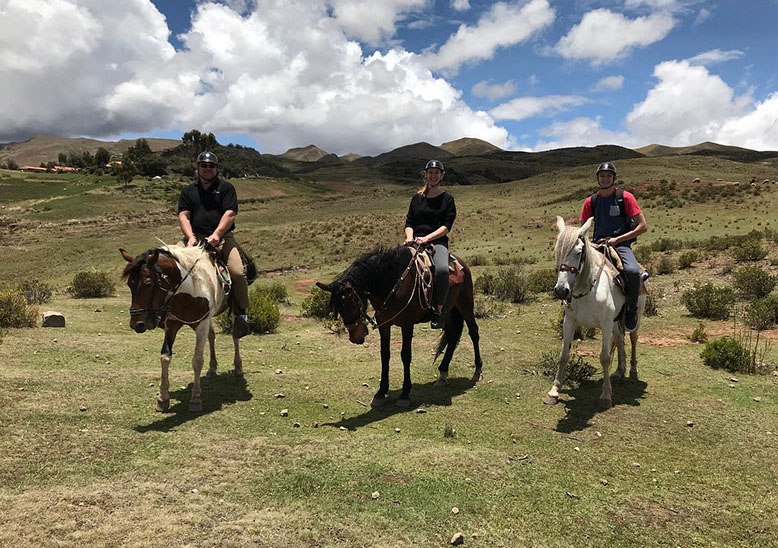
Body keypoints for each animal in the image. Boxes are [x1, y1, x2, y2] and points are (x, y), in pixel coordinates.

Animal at [120, 244, 244, 413]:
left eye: (148, 283)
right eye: (129, 284)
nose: (136, 324)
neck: (190, 291)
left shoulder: (201, 324)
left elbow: (197, 360)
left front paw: (196, 399)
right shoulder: (172, 324)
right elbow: (165, 356)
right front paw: (162, 398)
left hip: (233, 311)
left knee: (235, 336)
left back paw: (238, 368)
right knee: (212, 336)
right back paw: (212, 368)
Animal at [316, 245, 483, 408]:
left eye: (350, 304)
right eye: (338, 308)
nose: (355, 338)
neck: (392, 284)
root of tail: (461, 264)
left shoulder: (407, 324)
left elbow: (405, 355)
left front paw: (405, 394)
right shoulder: (384, 324)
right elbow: (385, 355)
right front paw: (381, 392)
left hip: (465, 304)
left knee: (473, 332)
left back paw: (477, 370)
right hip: (447, 312)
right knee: (452, 335)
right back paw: (442, 373)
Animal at [545, 216, 646, 410]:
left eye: (578, 252)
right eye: (557, 251)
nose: (561, 290)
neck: (587, 288)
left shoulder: (605, 323)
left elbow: (604, 358)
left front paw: (606, 396)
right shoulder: (570, 321)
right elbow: (563, 355)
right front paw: (554, 391)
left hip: (635, 317)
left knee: (633, 338)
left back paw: (632, 370)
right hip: (615, 321)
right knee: (620, 340)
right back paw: (619, 372)